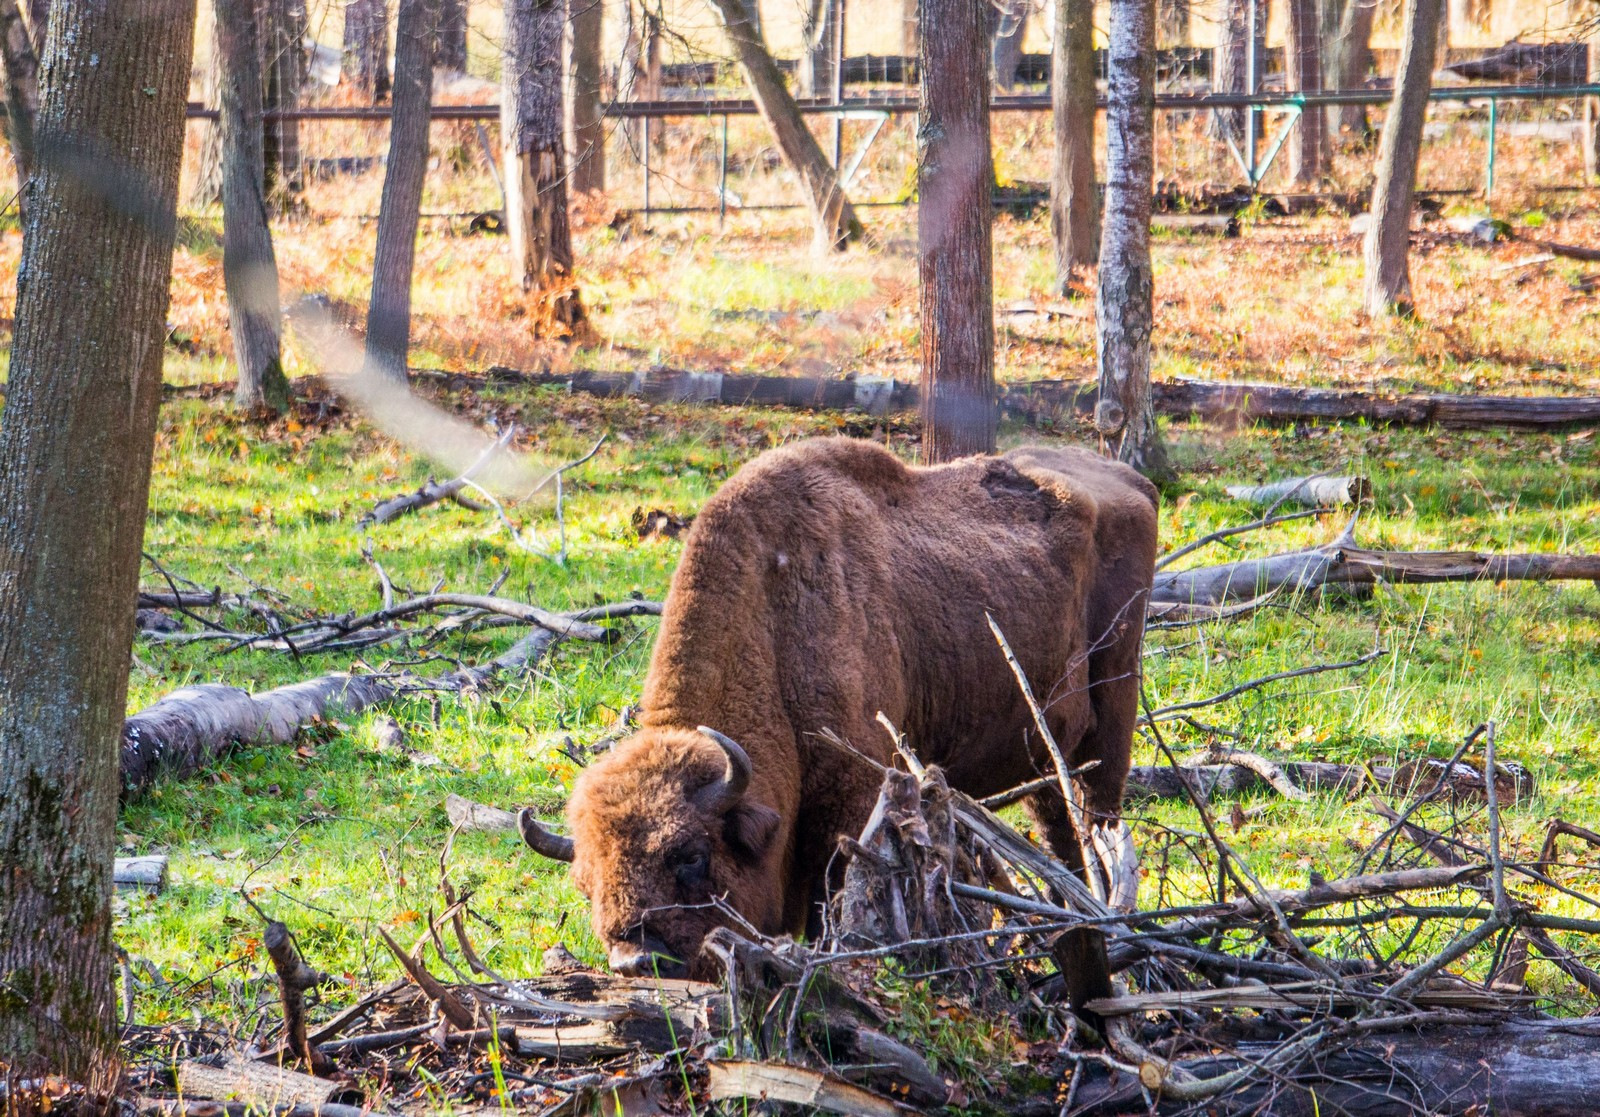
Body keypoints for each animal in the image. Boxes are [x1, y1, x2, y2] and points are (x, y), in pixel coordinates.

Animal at [518, 435, 1158, 972]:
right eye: (585, 883)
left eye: (691, 854)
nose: (635, 960)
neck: (775, 628)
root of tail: (1132, 480)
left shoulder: (851, 804)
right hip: (1044, 752)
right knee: (1060, 832)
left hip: (1113, 712)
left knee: (1098, 817)